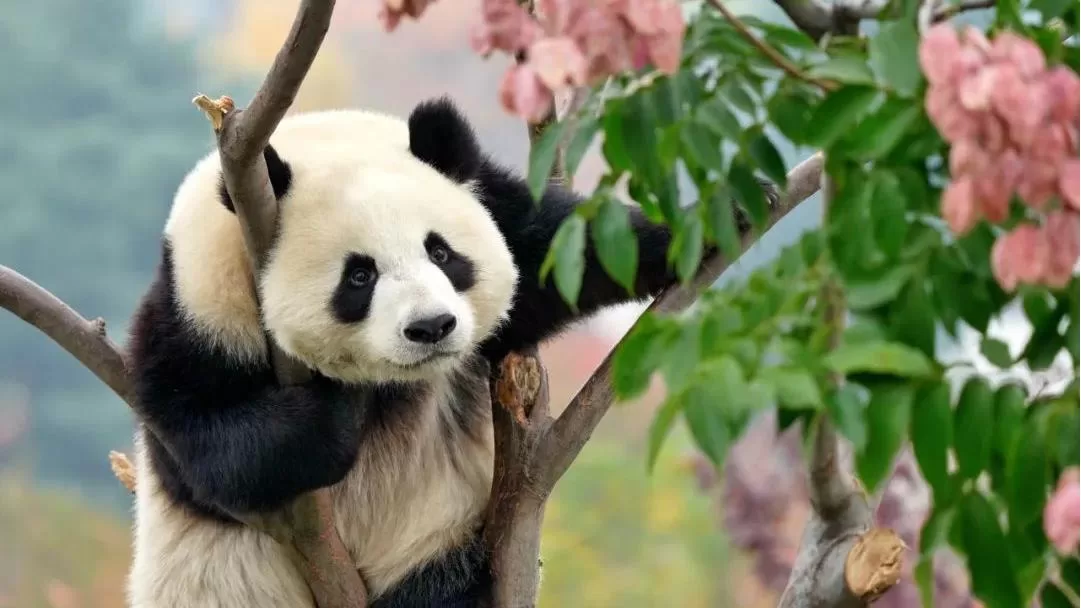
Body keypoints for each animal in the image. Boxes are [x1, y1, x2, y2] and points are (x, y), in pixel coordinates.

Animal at [124, 96, 773, 608]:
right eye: (359, 276)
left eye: (441, 252)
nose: (432, 327)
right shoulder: (201, 302)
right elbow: (206, 445)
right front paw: (334, 415)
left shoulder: (486, 196)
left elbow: (552, 251)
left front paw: (720, 216)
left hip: (435, 540)